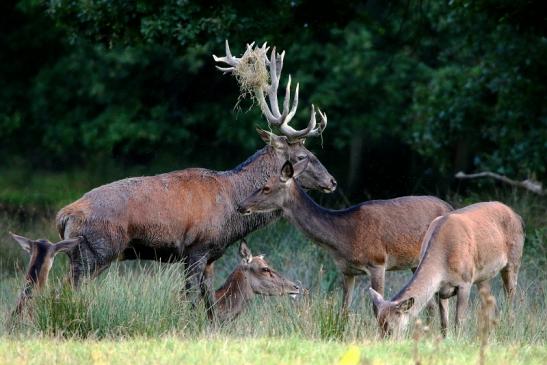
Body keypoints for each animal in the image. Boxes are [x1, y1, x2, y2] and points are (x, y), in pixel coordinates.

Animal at [32, 40, 336, 312]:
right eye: (302, 157)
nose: (332, 181)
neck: (232, 211)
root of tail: (63, 216)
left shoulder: (212, 256)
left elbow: (208, 302)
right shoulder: (196, 250)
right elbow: (190, 300)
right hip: (94, 252)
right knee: (62, 290)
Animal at [238, 161, 452, 312]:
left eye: (266, 187)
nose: (241, 205)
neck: (343, 237)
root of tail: (449, 206)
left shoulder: (377, 262)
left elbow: (376, 306)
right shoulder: (346, 270)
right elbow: (343, 310)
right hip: (416, 263)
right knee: (431, 303)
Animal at [370, 200, 524, 336]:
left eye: (390, 328)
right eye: (379, 325)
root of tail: (517, 216)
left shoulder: (465, 282)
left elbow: (459, 322)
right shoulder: (440, 290)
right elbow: (444, 324)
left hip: (514, 260)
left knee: (510, 299)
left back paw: (509, 329)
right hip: (481, 276)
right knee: (492, 304)